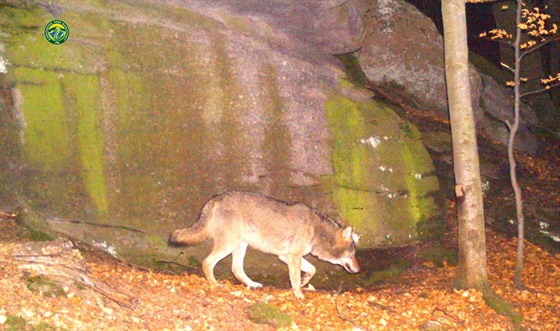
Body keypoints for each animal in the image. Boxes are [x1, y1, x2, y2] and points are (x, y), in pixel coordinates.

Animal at [168, 191, 360, 300]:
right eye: (353, 253)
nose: (358, 269)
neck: (316, 230)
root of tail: (216, 199)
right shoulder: (293, 256)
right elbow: (295, 279)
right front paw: (299, 294)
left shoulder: (286, 256)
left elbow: (312, 270)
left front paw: (305, 282)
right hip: (230, 245)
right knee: (207, 263)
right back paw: (215, 285)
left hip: (240, 246)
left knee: (236, 269)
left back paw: (252, 284)